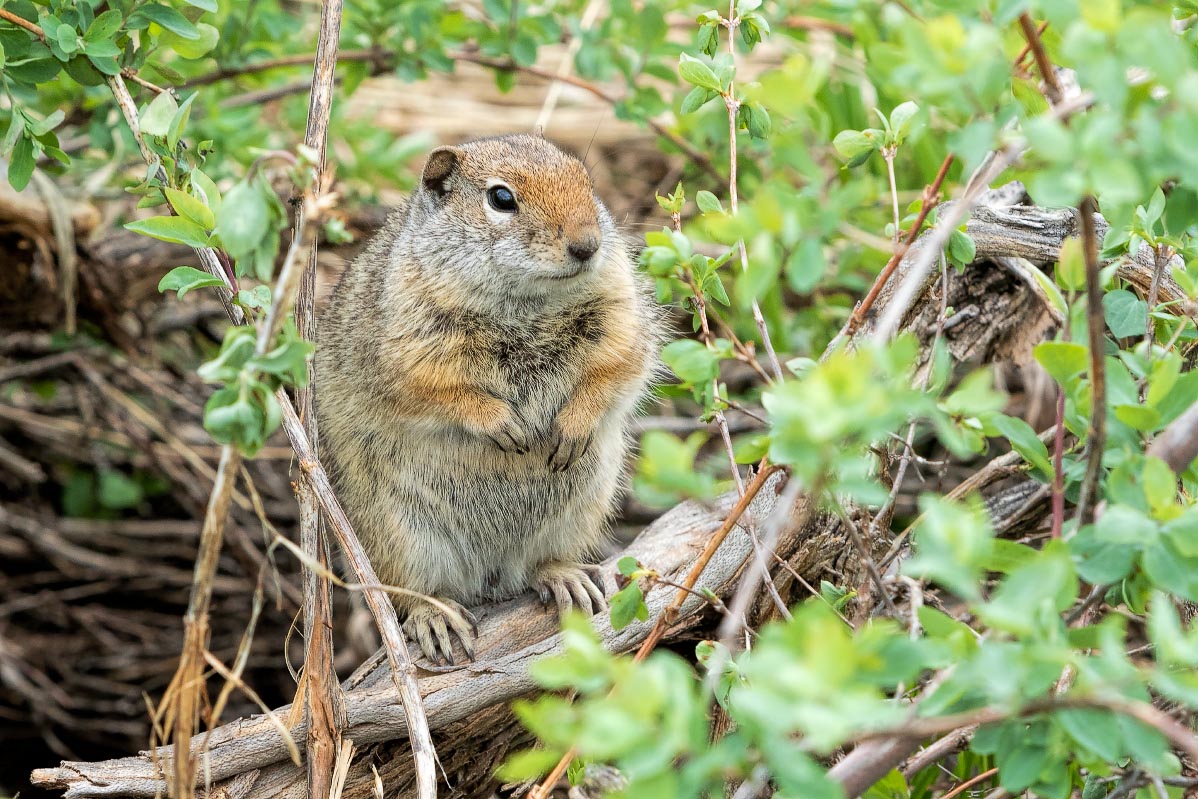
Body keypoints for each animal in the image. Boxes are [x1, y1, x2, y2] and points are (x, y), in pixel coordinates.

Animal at [313, 135, 661, 661]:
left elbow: (613, 370)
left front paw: (572, 425)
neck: (526, 302)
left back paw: (565, 577)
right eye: (501, 198)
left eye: (586, 180)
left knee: (539, 564)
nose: (587, 245)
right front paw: (503, 424)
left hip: (580, 510)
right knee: (410, 594)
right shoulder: (410, 352)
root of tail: (491, 578)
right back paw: (435, 616)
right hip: (399, 536)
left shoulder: (620, 317)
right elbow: (442, 393)